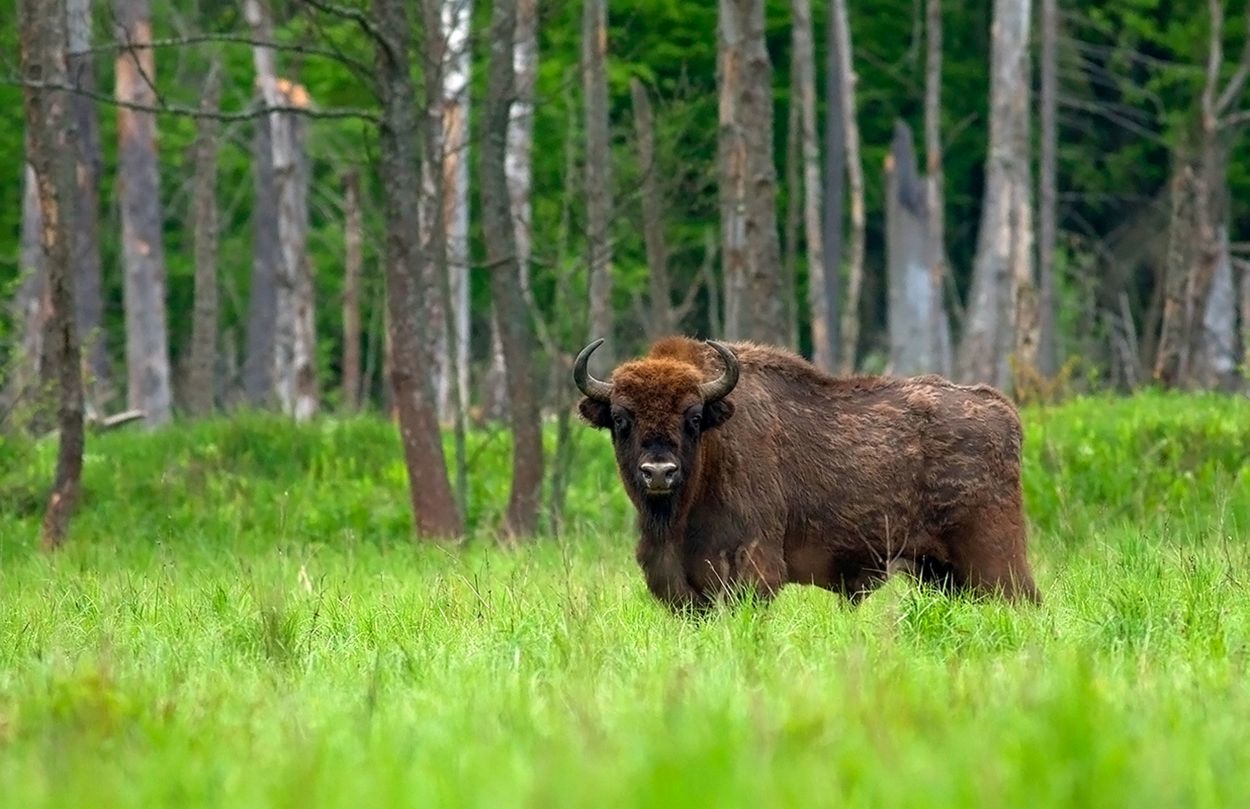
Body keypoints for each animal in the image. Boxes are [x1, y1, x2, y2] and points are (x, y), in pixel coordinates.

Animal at [577, 337, 1045, 615]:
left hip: (993, 558)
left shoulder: (753, 569)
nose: (659, 472)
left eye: (693, 417)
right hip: (941, 572)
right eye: (620, 418)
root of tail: (1002, 409)